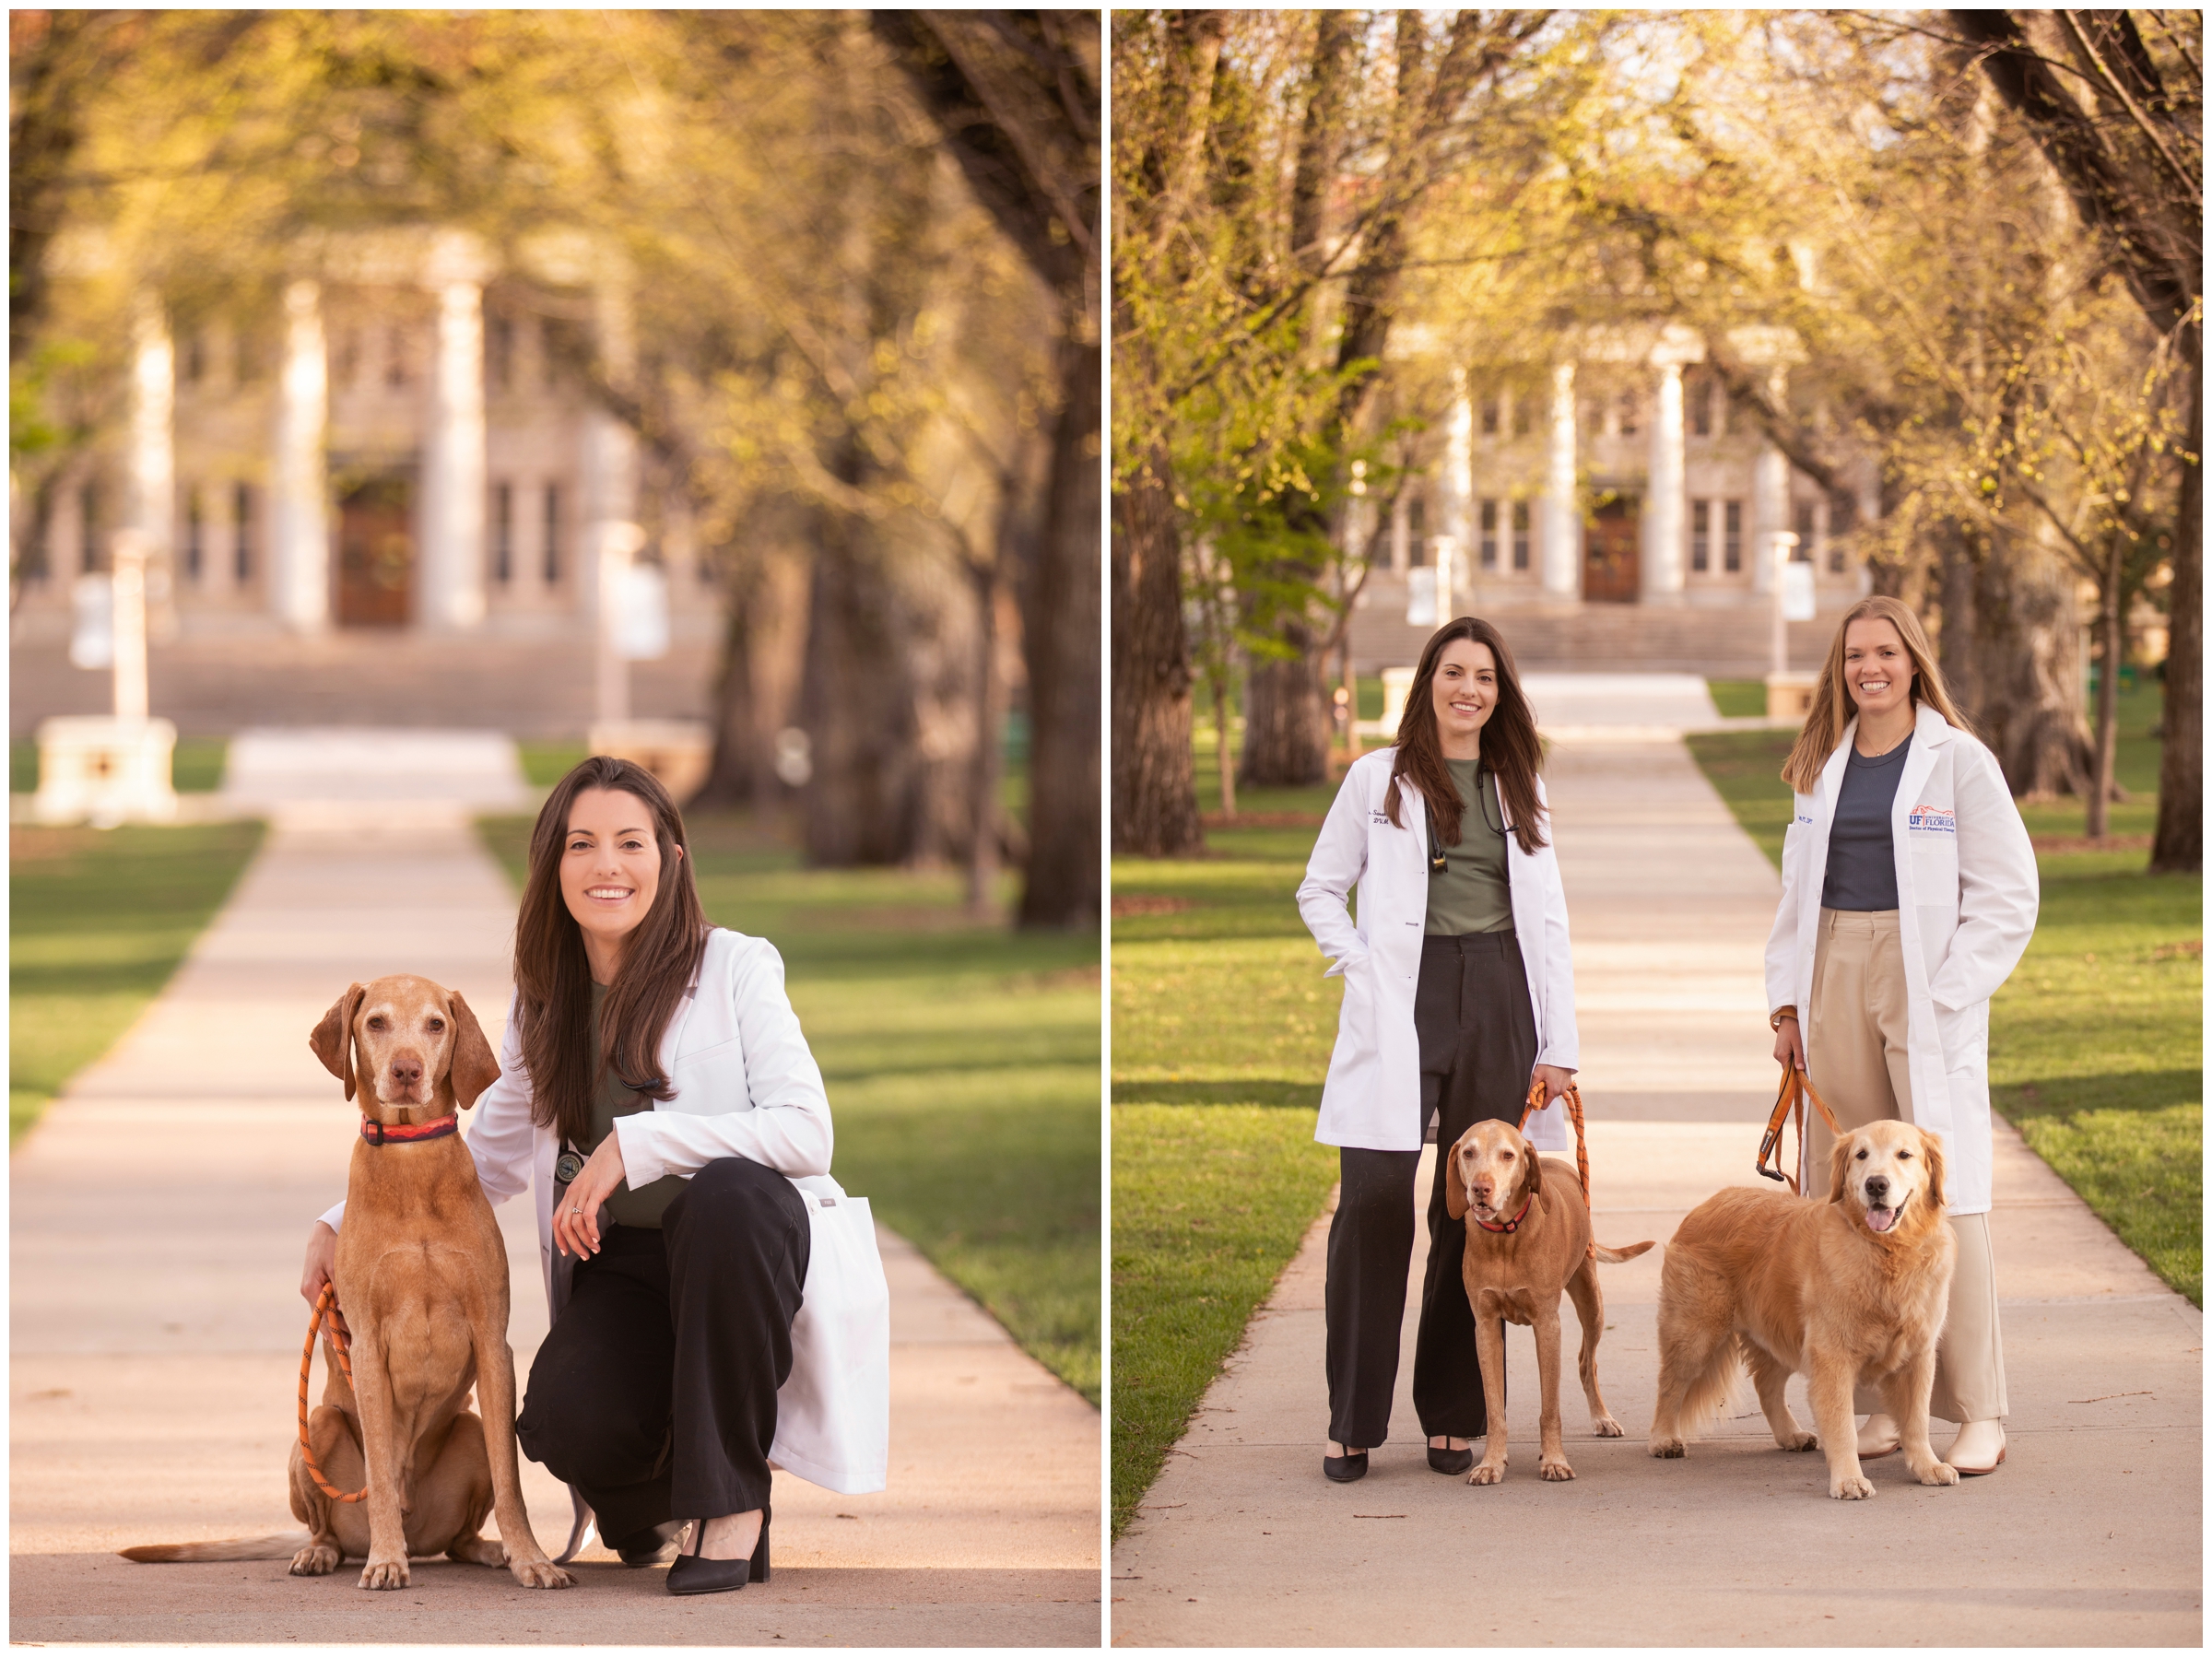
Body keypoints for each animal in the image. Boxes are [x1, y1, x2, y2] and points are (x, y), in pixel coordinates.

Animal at [122, 969, 575, 1592]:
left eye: (436, 1024)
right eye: (375, 1022)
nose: (407, 1071)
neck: (412, 1165)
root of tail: (421, 1535)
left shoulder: (492, 1342)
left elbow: (512, 1482)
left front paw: (530, 1557)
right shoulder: (367, 1348)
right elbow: (380, 1473)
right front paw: (386, 1560)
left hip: (470, 1427)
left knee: (460, 1535)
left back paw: (486, 1550)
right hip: (318, 1427)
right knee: (328, 1521)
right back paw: (327, 1552)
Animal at [1441, 1111, 1654, 1487]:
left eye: (1507, 1155)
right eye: (1468, 1153)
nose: (1480, 1189)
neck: (1505, 1238)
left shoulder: (1547, 1325)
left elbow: (1550, 1408)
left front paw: (1554, 1459)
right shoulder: (1485, 1327)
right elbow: (1495, 1409)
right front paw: (1492, 1462)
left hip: (1592, 1302)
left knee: (1588, 1362)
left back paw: (1602, 1417)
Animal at [1654, 1119, 1964, 1495]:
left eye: (1904, 1155)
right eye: (1861, 1155)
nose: (1876, 1185)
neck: (1886, 1252)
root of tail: (1707, 1204)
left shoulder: (1917, 1355)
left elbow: (1917, 1420)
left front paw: (1927, 1466)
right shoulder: (1831, 1355)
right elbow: (1843, 1425)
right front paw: (1849, 1479)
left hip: (1778, 1330)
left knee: (1767, 1386)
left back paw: (1790, 1434)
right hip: (1697, 1332)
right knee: (1670, 1383)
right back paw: (1663, 1438)